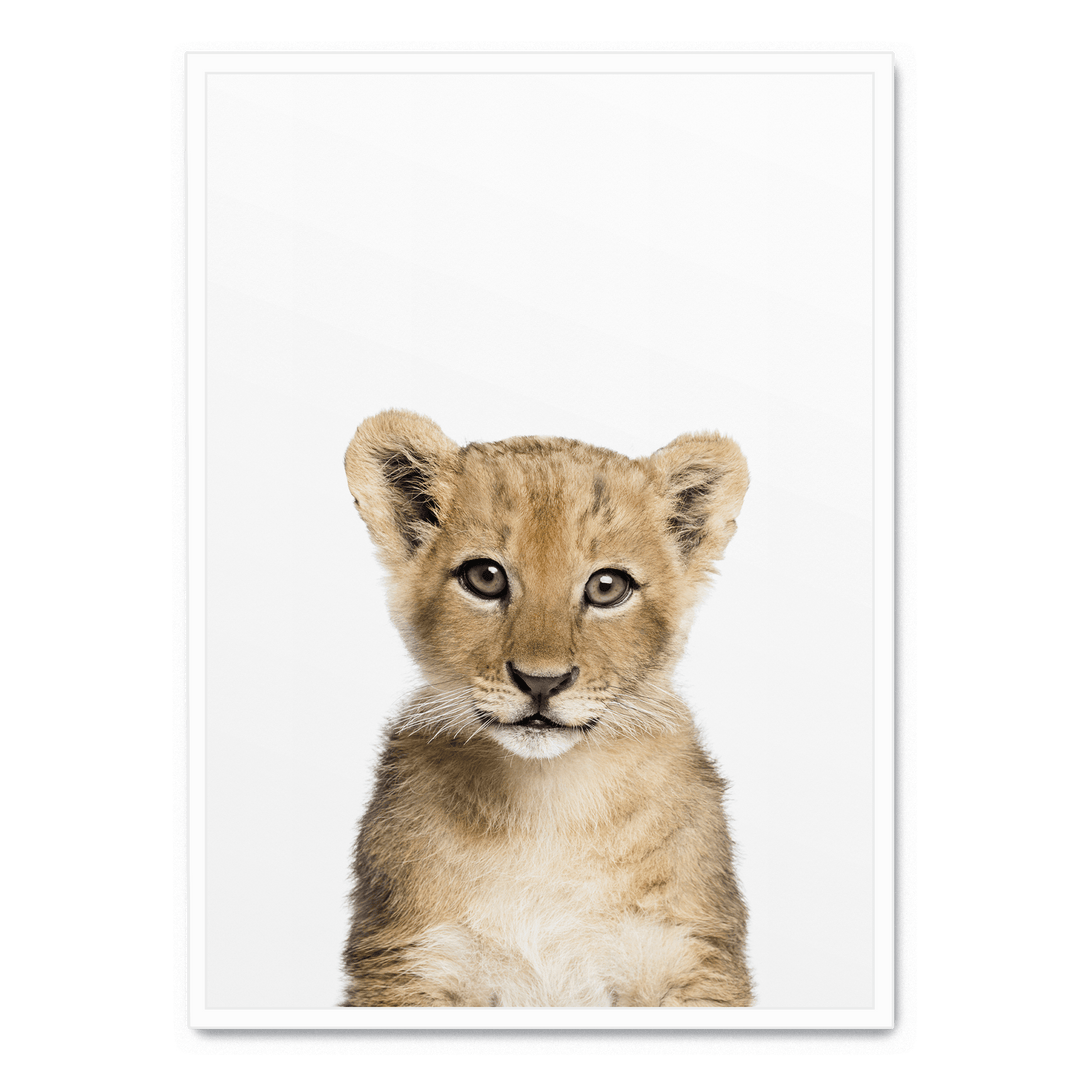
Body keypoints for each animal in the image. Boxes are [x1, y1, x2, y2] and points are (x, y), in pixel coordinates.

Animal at [340, 410, 753, 1007]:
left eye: (607, 587)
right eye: (485, 577)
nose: (542, 681)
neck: (548, 805)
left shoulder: (689, 957)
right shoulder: (410, 960)